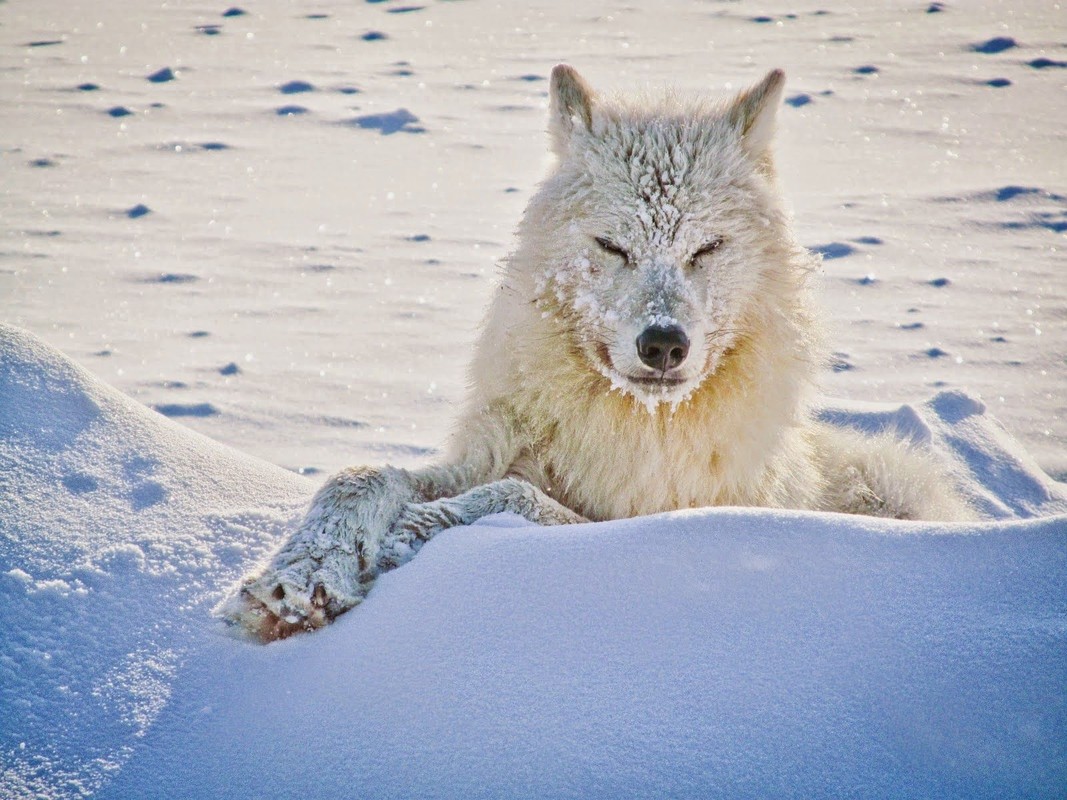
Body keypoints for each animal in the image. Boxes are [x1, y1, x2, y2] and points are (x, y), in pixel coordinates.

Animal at [220, 65, 973, 644]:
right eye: (613, 247)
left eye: (706, 248)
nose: (663, 343)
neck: (632, 427)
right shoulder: (493, 450)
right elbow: (359, 475)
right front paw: (294, 579)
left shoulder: (645, 519)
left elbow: (514, 498)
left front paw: (419, 531)